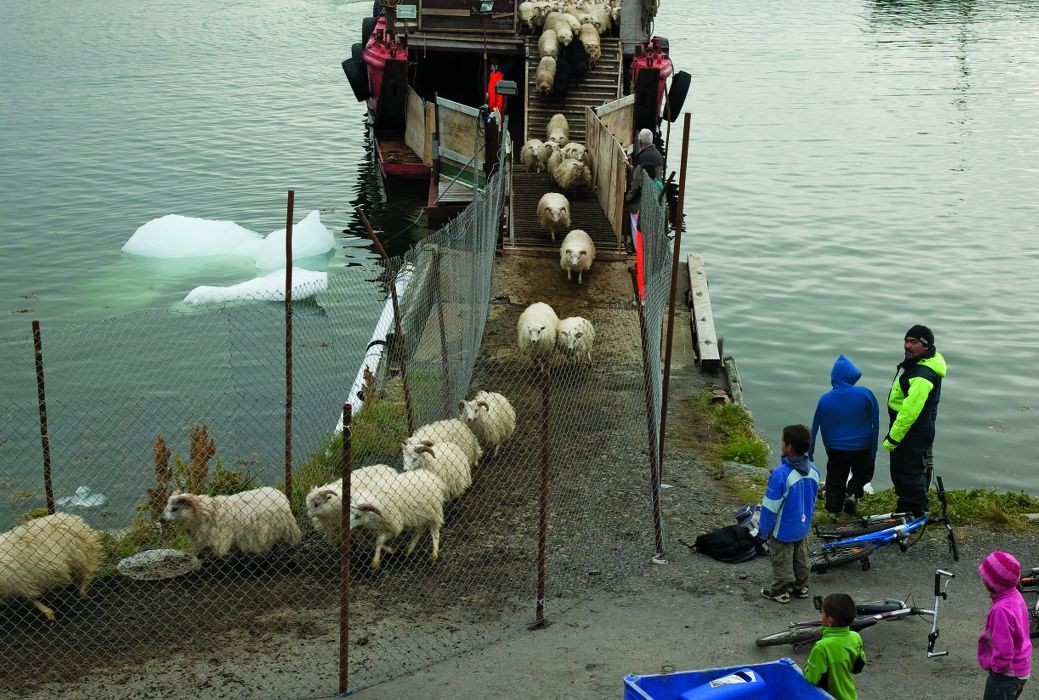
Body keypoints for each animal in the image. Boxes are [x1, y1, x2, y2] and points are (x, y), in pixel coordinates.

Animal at [161, 486, 301, 556]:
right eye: (166, 505)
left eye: (174, 508)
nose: (161, 519)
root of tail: (278, 493)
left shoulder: (221, 541)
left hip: (282, 528)